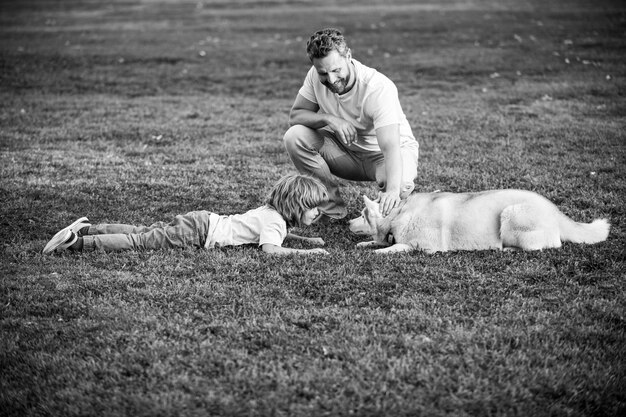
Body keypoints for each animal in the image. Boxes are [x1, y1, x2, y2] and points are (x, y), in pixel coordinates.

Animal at [348, 189, 608, 254]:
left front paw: (380, 251)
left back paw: (507, 249)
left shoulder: (426, 248)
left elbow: (397, 247)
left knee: (544, 246)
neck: (399, 214)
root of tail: (554, 210)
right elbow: (380, 242)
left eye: (361, 214)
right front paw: (366, 244)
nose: (348, 223)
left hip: (511, 215)